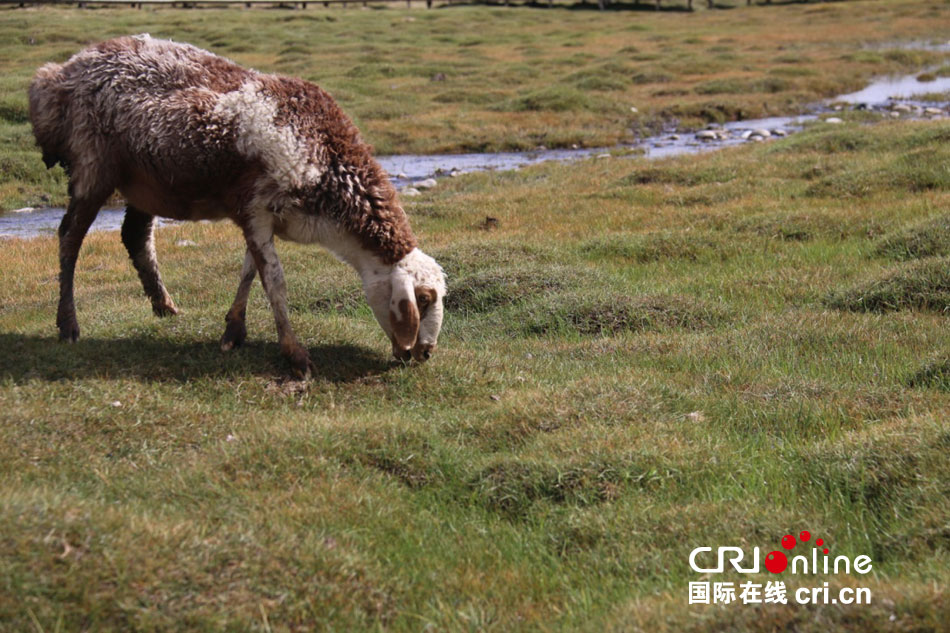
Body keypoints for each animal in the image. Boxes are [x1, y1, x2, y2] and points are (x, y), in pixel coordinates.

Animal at [28, 34, 446, 378]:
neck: (328, 160)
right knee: (70, 238)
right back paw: (68, 325)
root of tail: (58, 74)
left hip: (145, 182)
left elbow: (249, 270)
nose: (426, 353)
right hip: (93, 167)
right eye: (423, 300)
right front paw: (295, 356)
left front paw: (233, 331)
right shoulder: (257, 209)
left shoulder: (259, 218)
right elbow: (274, 281)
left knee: (135, 237)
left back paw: (164, 305)